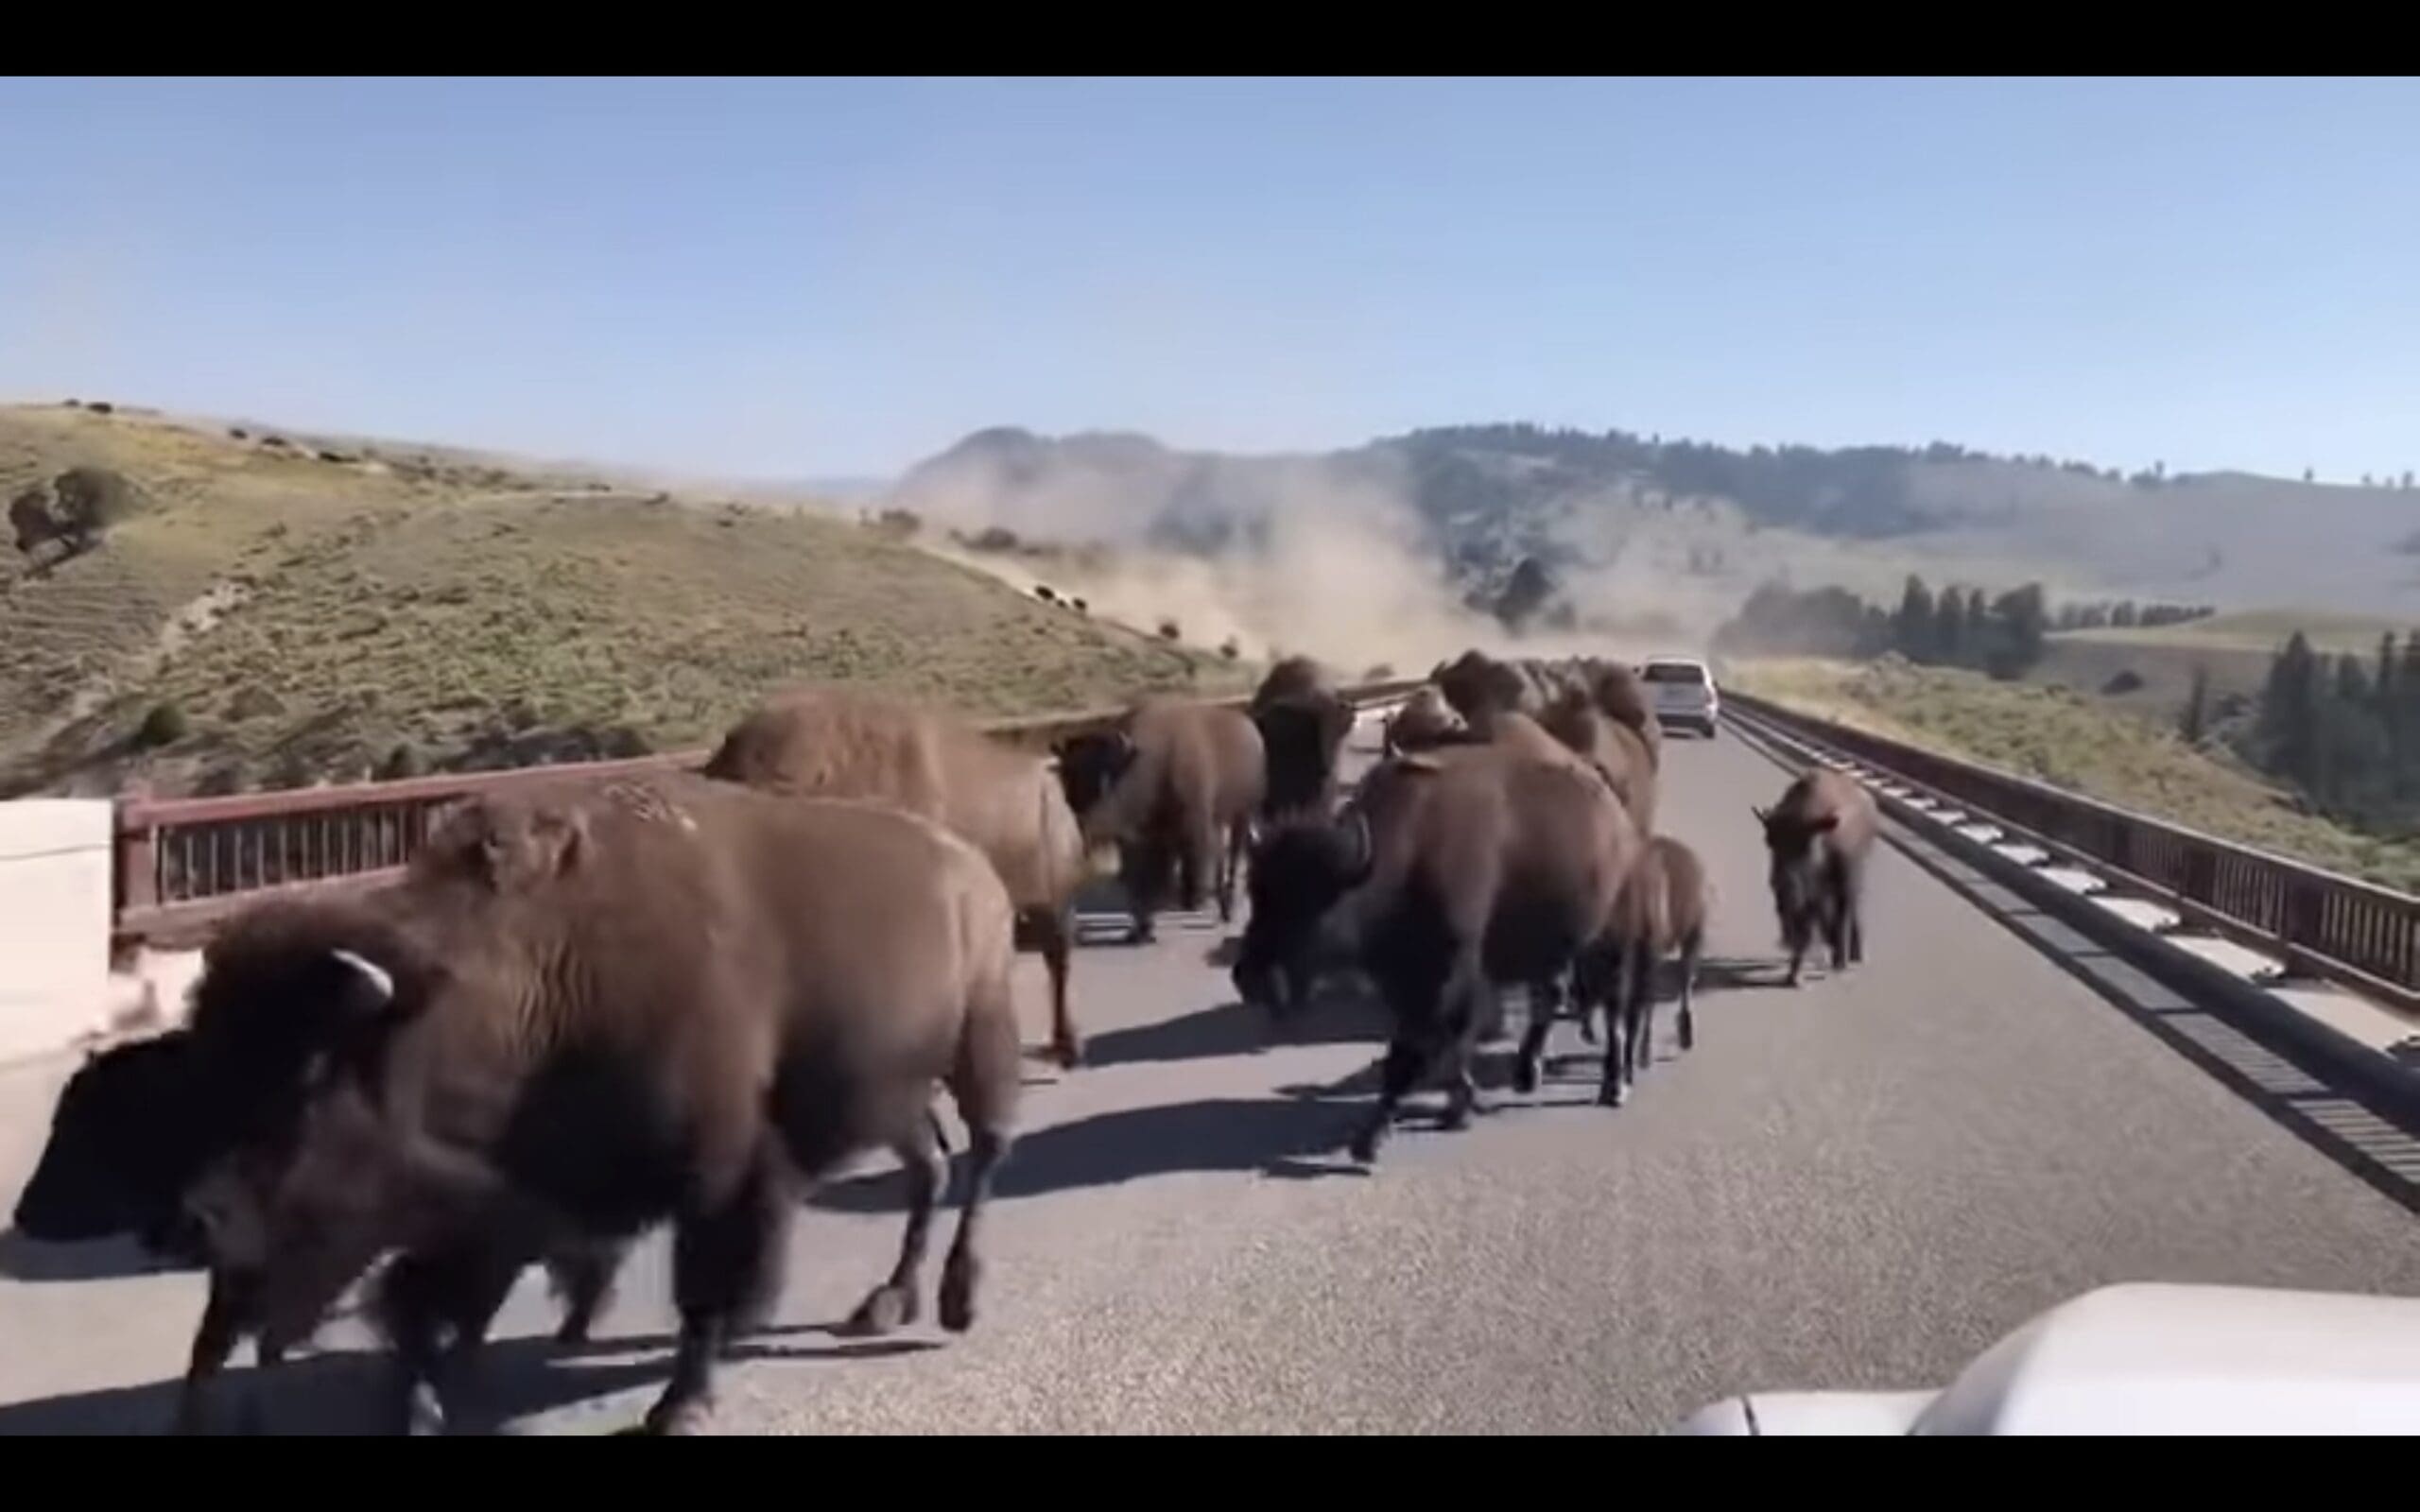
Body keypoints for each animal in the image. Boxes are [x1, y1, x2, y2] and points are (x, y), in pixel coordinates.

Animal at [175, 774, 1026, 1432]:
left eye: (304, 1087)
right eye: (208, 1067)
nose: (203, 1220)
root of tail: (971, 866)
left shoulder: (719, 1173)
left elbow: (702, 1291)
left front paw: (681, 1406)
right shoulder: (501, 1205)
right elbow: (426, 1308)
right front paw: (424, 1409)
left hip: (981, 1041)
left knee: (985, 1152)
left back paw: (956, 1300)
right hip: (895, 1095)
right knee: (930, 1165)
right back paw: (885, 1302)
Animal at [1055, 696, 1268, 938]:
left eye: (1106, 780)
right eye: (1067, 782)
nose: (1087, 825)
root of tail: (1251, 730)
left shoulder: (1191, 825)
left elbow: (1189, 864)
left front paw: (1191, 902)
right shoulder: (1145, 838)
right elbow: (1143, 880)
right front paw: (1141, 928)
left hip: (1241, 815)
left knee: (1231, 857)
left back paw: (1223, 904)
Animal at [1229, 740, 1645, 1156]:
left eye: (1314, 901)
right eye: (1255, 892)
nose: (1250, 978)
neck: (1408, 852)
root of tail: (1614, 812)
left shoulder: (1446, 977)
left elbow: (1412, 1053)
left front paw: (1370, 1137)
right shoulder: (1404, 979)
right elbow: (1444, 1045)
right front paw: (1457, 1107)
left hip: (1611, 938)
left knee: (1614, 1006)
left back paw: (1614, 1085)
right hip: (1550, 948)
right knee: (1549, 996)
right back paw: (1527, 1074)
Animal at [1761, 759, 1887, 987]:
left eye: (1808, 847)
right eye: (1770, 842)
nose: (1782, 885)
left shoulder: (1843, 885)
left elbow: (1841, 919)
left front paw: (1839, 962)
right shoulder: (1808, 899)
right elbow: (1806, 930)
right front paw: (1794, 975)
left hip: (1854, 879)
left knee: (1853, 911)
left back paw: (1855, 954)